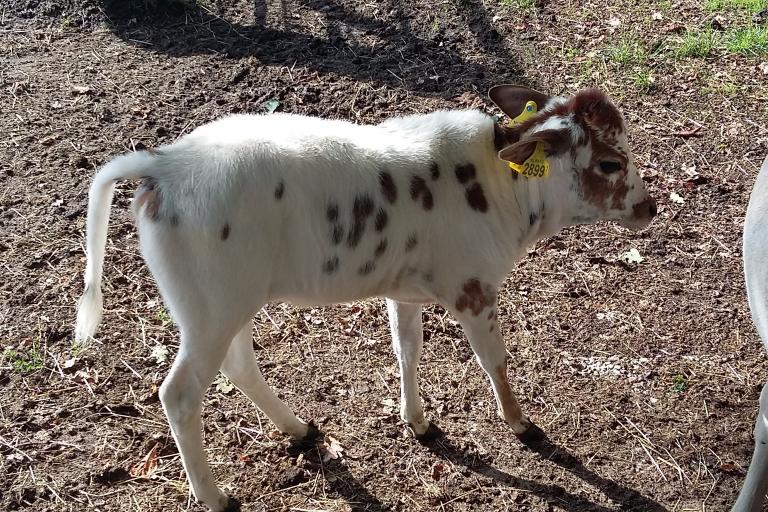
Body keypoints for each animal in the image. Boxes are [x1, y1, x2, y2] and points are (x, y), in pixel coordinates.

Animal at [75, 86, 656, 510]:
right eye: (609, 163)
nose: (649, 207)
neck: (502, 190)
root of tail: (164, 165)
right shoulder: (472, 288)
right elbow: (494, 359)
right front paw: (520, 424)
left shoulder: (406, 289)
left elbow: (408, 349)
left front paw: (417, 420)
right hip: (210, 308)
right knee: (179, 393)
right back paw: (215, 496)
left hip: (226, 303)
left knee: (238, 364)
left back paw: (299, 429)